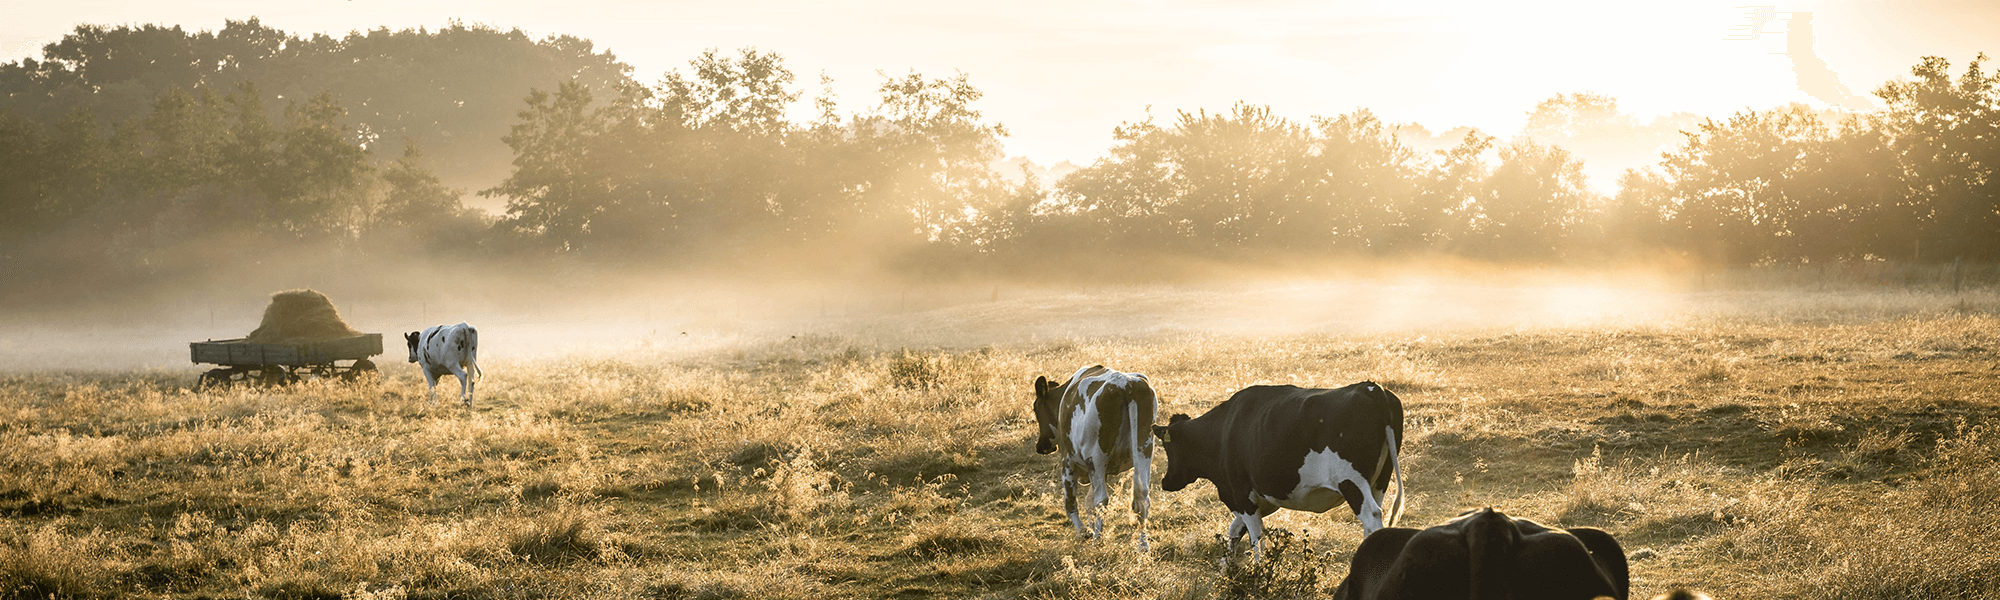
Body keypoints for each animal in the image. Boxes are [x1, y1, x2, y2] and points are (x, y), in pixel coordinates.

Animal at [1040, 364, 1168, 552]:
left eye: (1036, 409)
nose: (1041, 446)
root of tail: (1126, 384)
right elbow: (1088, 503)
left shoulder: (1068, 460)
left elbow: (1071, 503)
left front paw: (1084, 532)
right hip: (1144, 449)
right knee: (1142, 497)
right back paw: (1143, 545)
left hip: (1096, 457)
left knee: (1101, 499)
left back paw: (1097, 540)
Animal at [1152, 380, 1416, 556]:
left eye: (1168, 447)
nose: (1165, 482)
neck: (1224, 429)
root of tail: (1371, 387)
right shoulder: (1263, 499)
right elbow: (1235, 529)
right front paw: (1227, 572)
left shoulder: (1241, 494)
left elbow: (1256, 538)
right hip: (1379, 481)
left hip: (1352, 481)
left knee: (1371, 516)